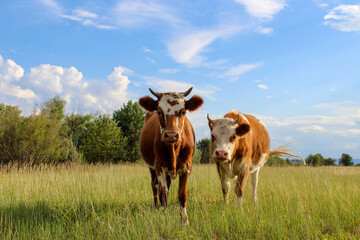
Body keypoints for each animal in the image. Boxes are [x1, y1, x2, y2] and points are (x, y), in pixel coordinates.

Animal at [139, 87, 204, 224]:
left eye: (183, 111)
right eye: (159, 111)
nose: (171, 135)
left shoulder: (187, 167)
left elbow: (182, 195)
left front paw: (184, 221)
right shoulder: (159, 167)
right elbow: (162, 194)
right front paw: (164, 217)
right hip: (151, 167)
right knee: (155, 187)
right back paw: (157, 208)